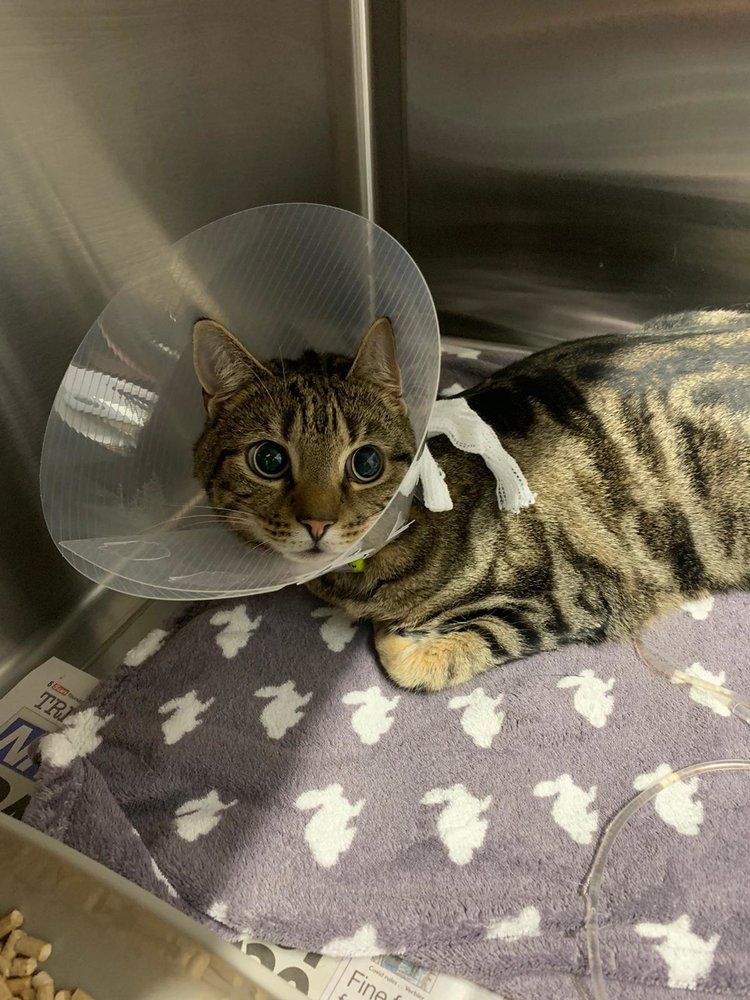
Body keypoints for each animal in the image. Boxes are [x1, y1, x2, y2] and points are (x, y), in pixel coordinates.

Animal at [193, 311, 750, 691]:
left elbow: (409, 655)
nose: (317, 523)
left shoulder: (567, 598)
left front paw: (397, 634)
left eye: (365, 463)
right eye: (269, 459)